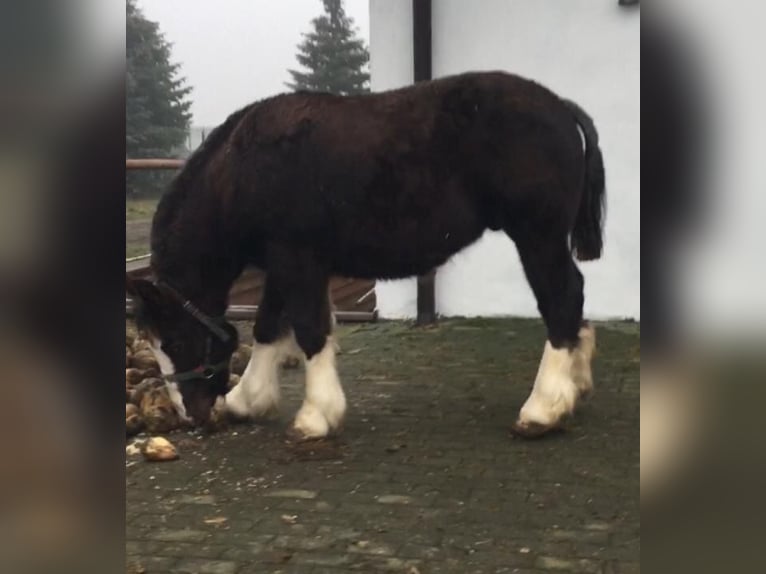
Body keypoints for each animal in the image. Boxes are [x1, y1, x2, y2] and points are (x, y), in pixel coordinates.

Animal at [126, 72, 608, 440]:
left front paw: (315, 415)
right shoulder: (281, 266)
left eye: (173, 341)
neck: (241, 172)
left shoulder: (299, 260)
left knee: (561, 299)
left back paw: (543, 408)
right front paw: (248, 400)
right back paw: (576, 387)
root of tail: (560, 107)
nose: (191, 414)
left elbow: (309, 329)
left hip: (537, 236)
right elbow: (267, 327)